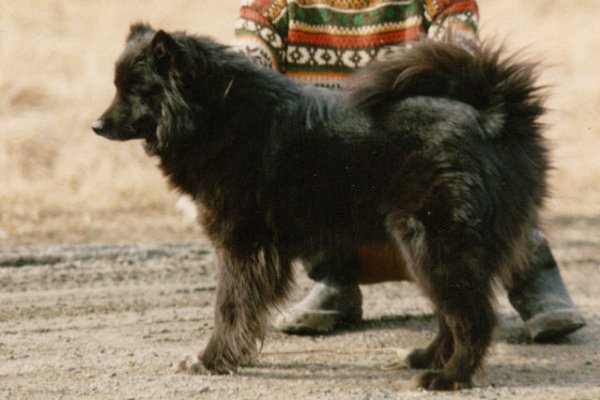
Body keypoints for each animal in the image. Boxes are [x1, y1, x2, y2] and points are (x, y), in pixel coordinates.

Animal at [92, 22, 548, 390]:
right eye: (117, 86)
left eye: (136, 89)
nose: (96, 126)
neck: (215, 113)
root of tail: (494, 118)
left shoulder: (242, 244)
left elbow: (228, 307)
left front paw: (211, 360)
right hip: (426, 248)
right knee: (451, 314)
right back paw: (425, 358)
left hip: (435, 244)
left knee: (473, 318)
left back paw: (449, 376)